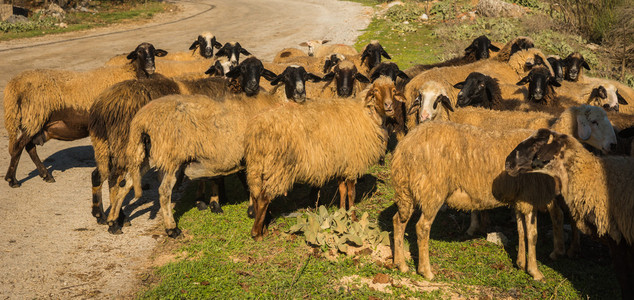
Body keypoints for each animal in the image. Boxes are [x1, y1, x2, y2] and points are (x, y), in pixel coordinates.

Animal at [1, 42, 168, 188]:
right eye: (139, 52)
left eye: (154, 52)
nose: (151, 67)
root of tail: (14, 85)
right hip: (34, 117)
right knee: (18, 147)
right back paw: (12, 180)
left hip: (34, 122)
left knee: (29, 148)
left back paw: (45, 175)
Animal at [388, 106, 616, 280]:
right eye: (594, 122)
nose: (613, 145)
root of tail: (405, 146)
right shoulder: (530, 198)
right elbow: (533, 234)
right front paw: (535, 271)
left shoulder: (519, 200)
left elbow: (521, 231)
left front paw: (521, 263)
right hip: (431, 190)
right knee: (422, 228)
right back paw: (426, 271)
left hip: (406, 189)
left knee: (398, 221)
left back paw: (401, 264)